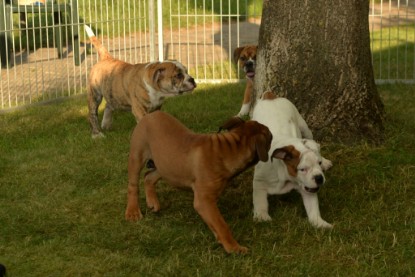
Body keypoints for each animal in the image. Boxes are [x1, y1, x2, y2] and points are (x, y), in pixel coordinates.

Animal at [125, 110, 272, 252]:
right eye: (270, 136)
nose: (272, 133)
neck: (228, 150)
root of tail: (148, 115)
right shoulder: (204, 201)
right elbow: (221, 225)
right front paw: (234, 247)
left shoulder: (208, 202)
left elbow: (215, 223)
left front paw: (221, 240)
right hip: (137, 156)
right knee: (133, 185)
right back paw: (132, 212)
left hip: (165, 166)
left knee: (148, 177)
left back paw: (152, 202)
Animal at [252, 91, 334, 227]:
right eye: (302, 169)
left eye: (319, 163)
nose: (319, 178)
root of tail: (270, 97)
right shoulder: (259, 182)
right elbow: (260, 201)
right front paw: (262, 217)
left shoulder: (307, 188)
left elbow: (313, 208)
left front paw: (320, 223)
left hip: (304, 127)